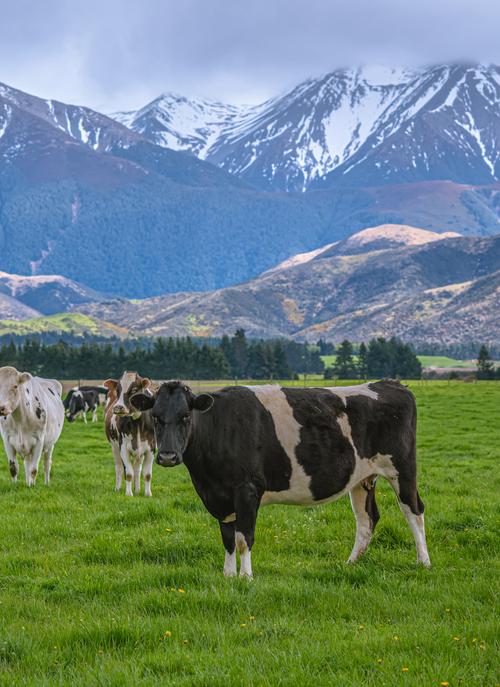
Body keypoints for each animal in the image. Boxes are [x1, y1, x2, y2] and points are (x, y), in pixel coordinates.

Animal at [131, 380, 431, 578]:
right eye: (155, 416)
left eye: (185, 416)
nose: (167, 456)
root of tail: (390, 384)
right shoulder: (219, 496)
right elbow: (228, 539)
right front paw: (228, 576)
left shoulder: (247, 489)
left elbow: (244, 539)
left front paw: (246, 578)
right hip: (362, 477)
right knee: (367, 519)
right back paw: (351, 563)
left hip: (402, 468)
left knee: (414, 510)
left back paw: (423, 562)